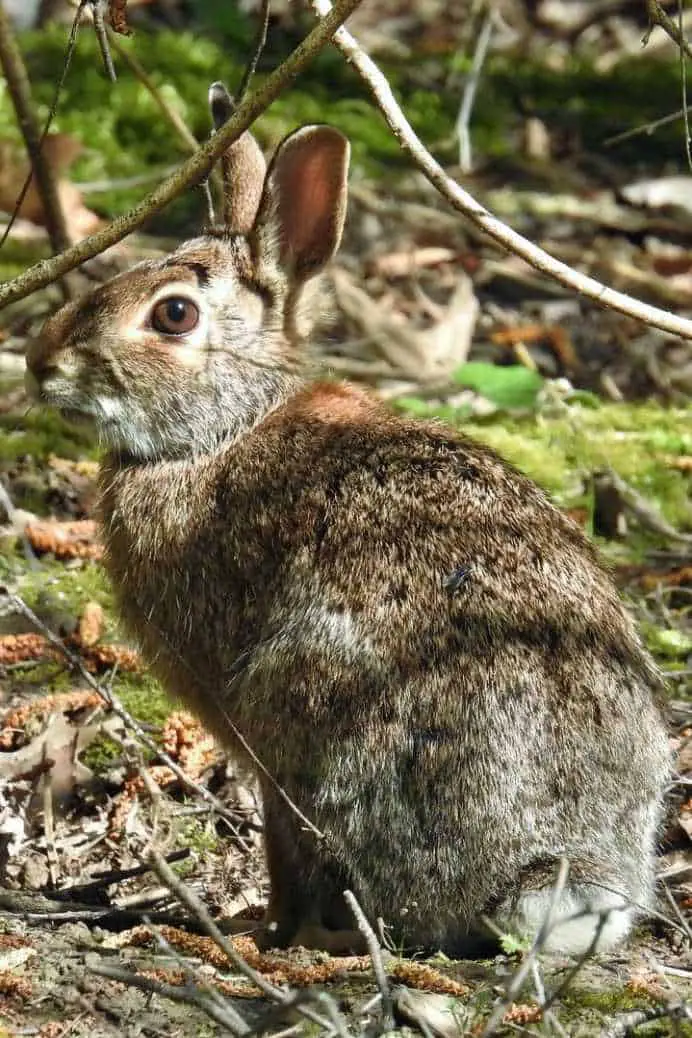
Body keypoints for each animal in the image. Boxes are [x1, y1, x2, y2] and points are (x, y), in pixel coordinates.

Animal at [25, 97, 672, 954]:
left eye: (173, 314)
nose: (41, 361)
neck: (225, 429)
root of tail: (541, 873)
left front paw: (265, 929)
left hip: (307, 716)